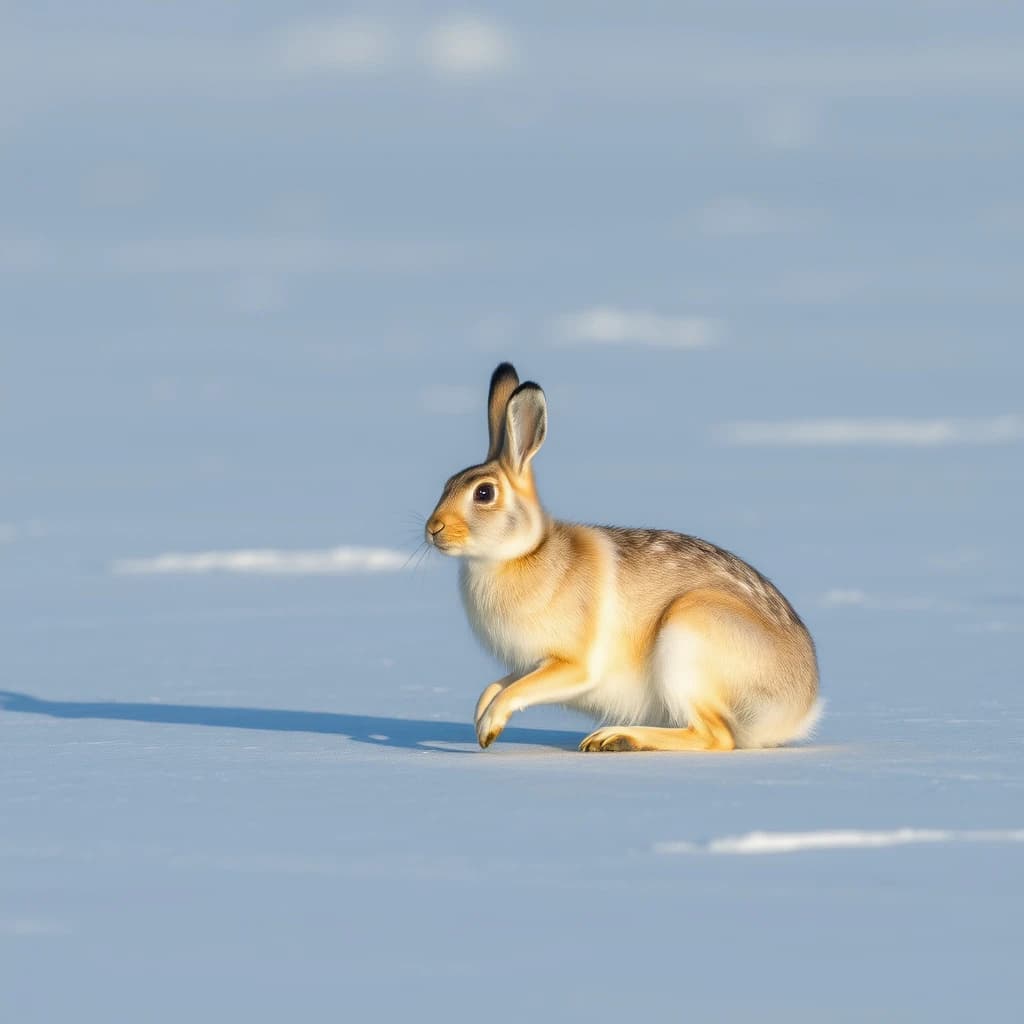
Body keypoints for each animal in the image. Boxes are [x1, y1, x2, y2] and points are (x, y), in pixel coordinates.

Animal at [425, 362, 820, 752]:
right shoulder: (527, 663)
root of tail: (800, 708)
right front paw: (481, 717)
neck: (523, 552)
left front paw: (489, 728)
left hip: (689, 638)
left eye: (484, 493)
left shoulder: (573, 665)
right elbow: (499, 684)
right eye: (447, 484)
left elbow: (520, 689)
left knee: (715, 737)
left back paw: (615, 738)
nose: (433, 528)